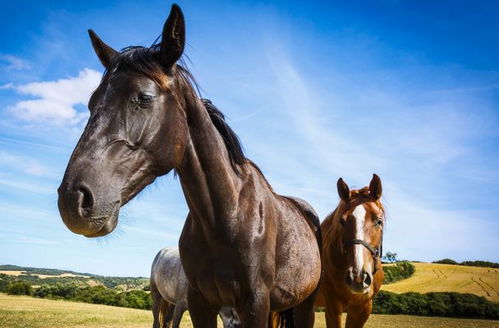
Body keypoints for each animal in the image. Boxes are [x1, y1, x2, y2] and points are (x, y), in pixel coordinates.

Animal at [56, 4, 322, 328]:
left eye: (144, 98)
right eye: (92, 103)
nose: (73, 199)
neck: (227, 217)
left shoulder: (255, 304)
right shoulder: (200, 302)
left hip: (303, 306)